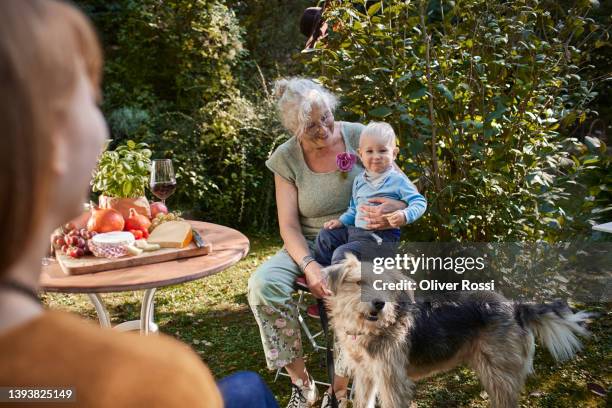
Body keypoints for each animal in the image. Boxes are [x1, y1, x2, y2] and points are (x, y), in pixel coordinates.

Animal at [328, 255, 592, 408]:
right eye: (359, 282)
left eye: (385, 285)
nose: (379, 304)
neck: (373, 328)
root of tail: (514, 306)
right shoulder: (366, 376)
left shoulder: (393, 381)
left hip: (499, 374)